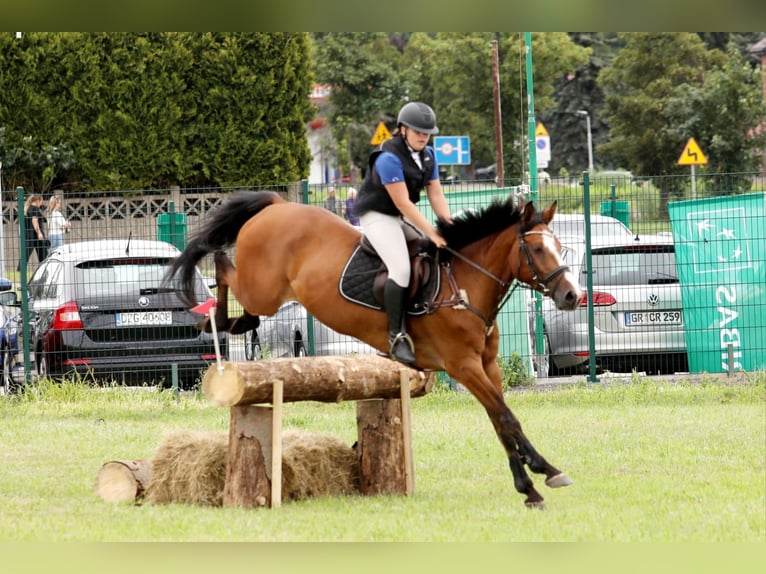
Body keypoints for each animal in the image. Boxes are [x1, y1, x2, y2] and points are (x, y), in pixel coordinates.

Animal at [166, 190, 584, 508]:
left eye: (560, 247)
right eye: (536, 249)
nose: (572, 296)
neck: (464, 284)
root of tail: (278, 204)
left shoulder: (487, 365)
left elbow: (501, 420)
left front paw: (535, 478)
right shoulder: (463, 366)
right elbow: (505, 417)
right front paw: (538, 478)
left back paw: (231, 322)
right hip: (264, 289)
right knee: (223, 264)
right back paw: (218, 319)